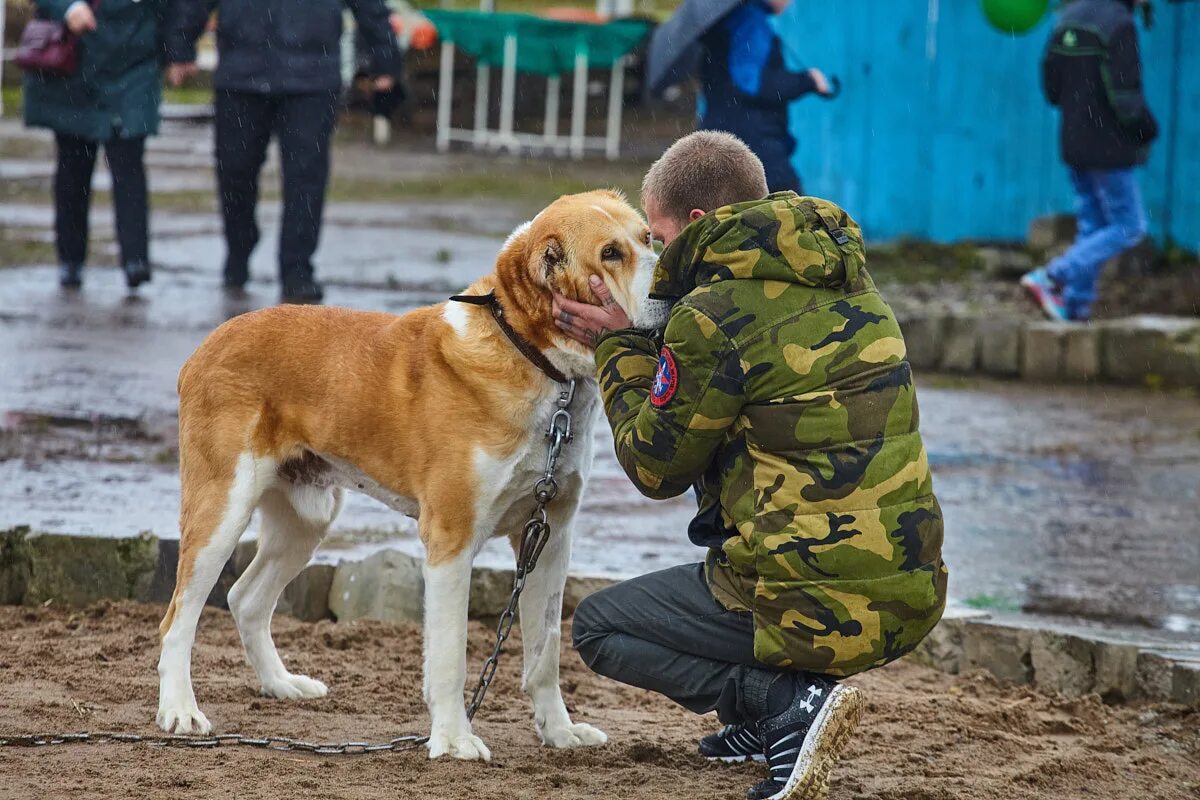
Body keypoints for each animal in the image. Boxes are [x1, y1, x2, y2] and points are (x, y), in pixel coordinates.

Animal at [156, 190, 662, 762]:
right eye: (610, 255)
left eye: (647, 238)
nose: (670, 284)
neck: (534, 360)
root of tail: (206, 345)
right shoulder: (450, 539)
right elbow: (449, 656)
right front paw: (454, 739)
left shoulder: (550, 536)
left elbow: (545, 651)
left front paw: (558, 732)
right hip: (222, 511)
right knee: (177, 619)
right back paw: (180, 711)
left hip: (307, 520)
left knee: (246, 599)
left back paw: (281, 684)